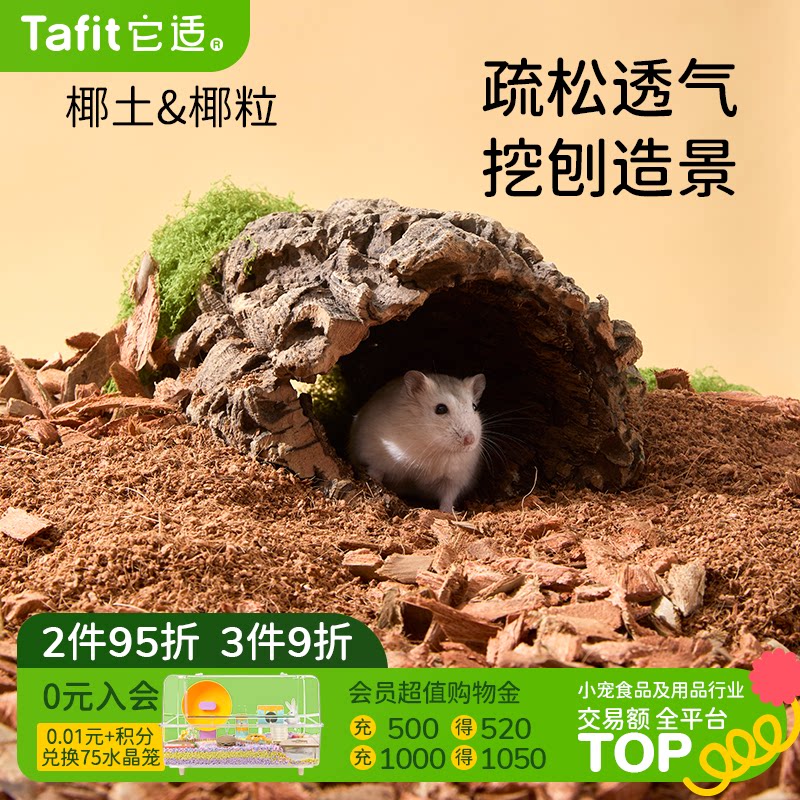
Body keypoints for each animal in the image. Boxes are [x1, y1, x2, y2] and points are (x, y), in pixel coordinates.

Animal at [349, 370, 486, 512]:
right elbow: (375, 473)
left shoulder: (456, 478)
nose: (470, 440)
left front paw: (447, 512)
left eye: (474, 407)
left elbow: (448, 496)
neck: (431, 445)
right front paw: (375, 488)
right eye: (441, 409)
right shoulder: (375, 458)